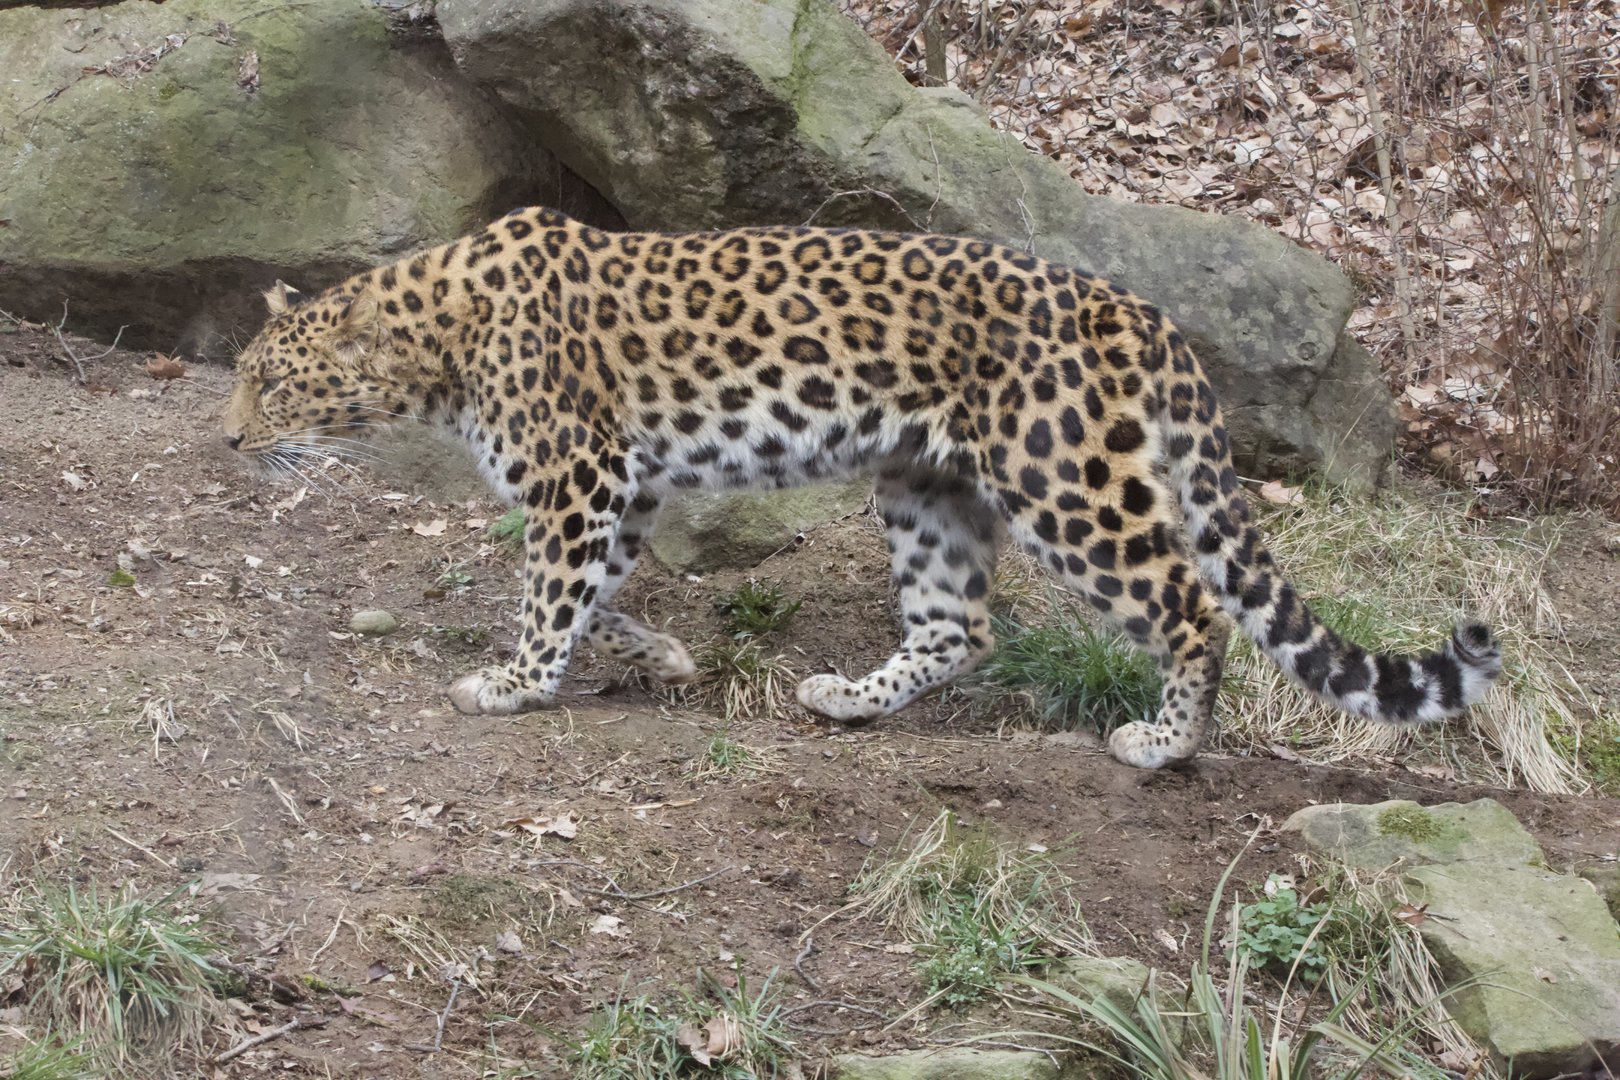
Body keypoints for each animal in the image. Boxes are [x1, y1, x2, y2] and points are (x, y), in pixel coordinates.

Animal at [222, 205, 1502, 769]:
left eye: (269, 383)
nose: (228, 440)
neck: (430, 347)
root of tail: (1136, 309)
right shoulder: (622, 486)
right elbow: (595, 587)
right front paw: (655, 653)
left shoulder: (580, 476)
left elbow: (546, 590)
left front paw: (515, 681)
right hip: (927, 485)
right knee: (959, 627)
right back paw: (848, 699)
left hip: (1063, 482)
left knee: (1189, 604)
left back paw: (1164, 742)